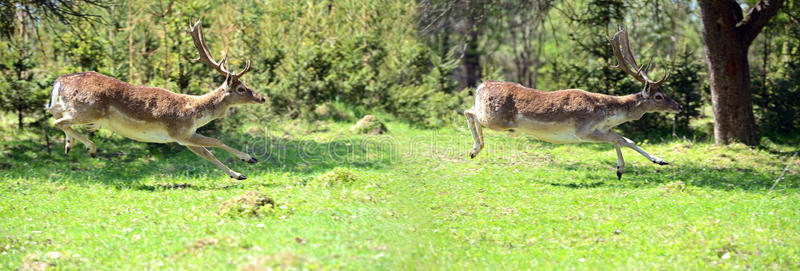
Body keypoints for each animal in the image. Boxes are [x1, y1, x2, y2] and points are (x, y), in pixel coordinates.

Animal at [46, 19, 266, 181]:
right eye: (241, 88)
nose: (262, 98)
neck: (195, 112)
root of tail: (60, 80)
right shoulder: (180, 132)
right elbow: (216, 142)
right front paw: (249, 159)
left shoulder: (185, 137)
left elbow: (207, 154)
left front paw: (238, 174)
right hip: (88, 110)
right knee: (58, 121)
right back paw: (90, 148)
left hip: (75, 108)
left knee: (55, 113)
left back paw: (69, 145)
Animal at [462, 27, 680, 181]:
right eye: (658, 96)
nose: (679, 106)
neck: (607, 113)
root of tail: (482, 85)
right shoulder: (582, 131)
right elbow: (618, 139)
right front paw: (622, 169)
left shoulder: (601, 129)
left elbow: (626, 139)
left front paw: (657, 161)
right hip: (496, 118)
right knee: (468, 112)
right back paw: (475, 149)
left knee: (469, 112)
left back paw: (474, 151)